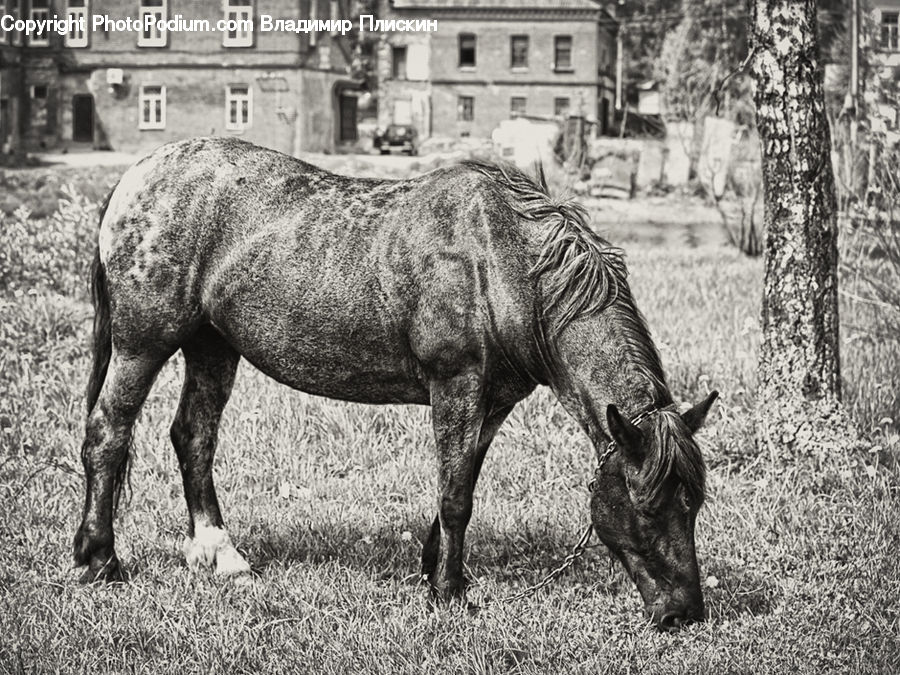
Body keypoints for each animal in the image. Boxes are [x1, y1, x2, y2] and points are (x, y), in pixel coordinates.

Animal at [73, 137, 718, 631]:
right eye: (648, 505)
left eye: (695, 503)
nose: (684, 613)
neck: (504, 263)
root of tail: (137, 175)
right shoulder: (455, 386)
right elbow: (456, 496)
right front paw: (451, 595)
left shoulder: (492, 403)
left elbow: (458, 484)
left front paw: (436, 573)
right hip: (142, 344)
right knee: (108, 433)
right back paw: (100, 560)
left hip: (212, 346)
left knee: (193, 437)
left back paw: (218, 554)